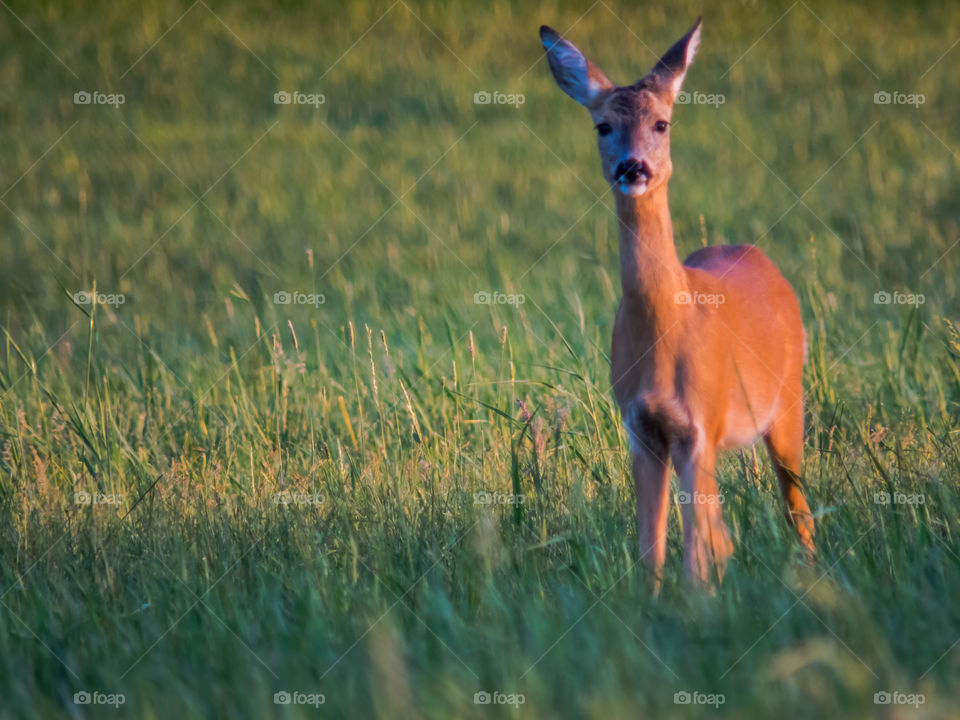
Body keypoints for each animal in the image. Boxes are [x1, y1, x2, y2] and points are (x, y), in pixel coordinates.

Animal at [544, 18, 812, 592]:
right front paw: (654, 601)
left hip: (788, 402)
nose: (633, 166)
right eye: (602, 126)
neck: (666, 329)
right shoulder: (641, 428)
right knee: (724, 531)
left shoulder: (699, 425)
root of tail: (754, 253)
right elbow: (653, 547)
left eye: (662, 123)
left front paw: (700, 603)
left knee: (796, 509)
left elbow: (694, 551)